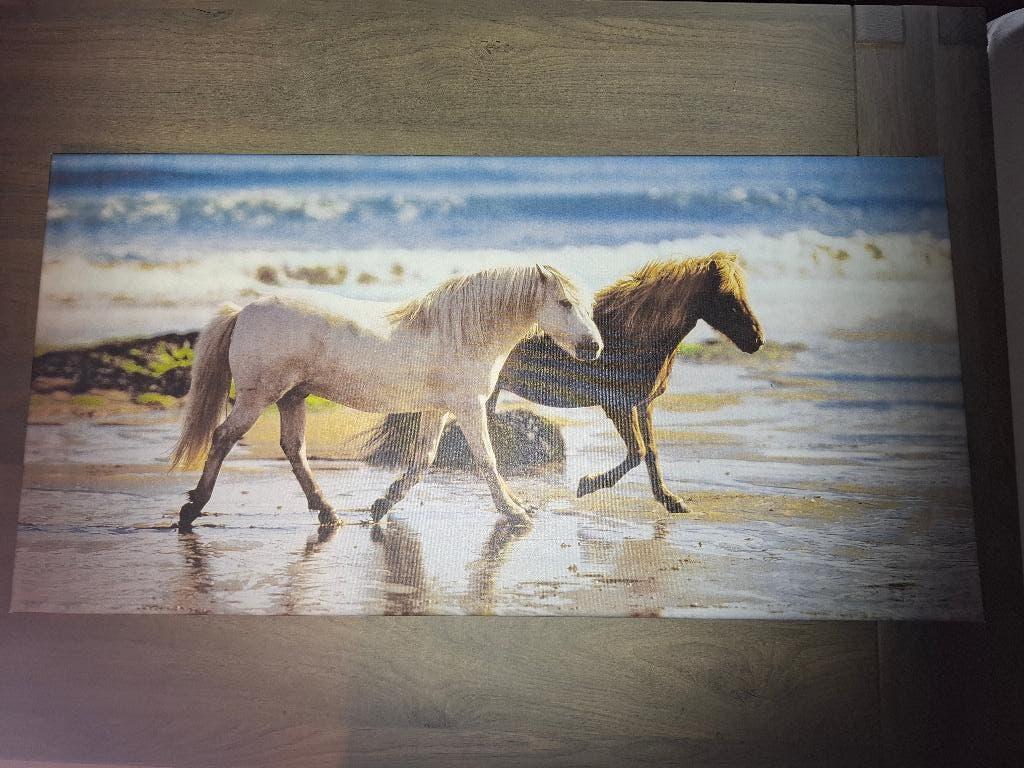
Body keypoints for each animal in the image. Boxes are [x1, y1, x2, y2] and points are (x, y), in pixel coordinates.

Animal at [170, 264, 603, 531]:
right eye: (564, 303)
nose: (593, 347)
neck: (461, 333)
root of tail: (243, 311)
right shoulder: (468, 406)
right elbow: (487, 460)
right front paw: (515, 513)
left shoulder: (438, 409)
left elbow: (423, 460)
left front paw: (381, 506)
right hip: (258, 397)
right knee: (223, 437)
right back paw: (193, 508)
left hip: (292, 397)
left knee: (293, 449)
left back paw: (327, 513)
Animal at [371, 252, 764, 513]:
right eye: (729, 299)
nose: (757, 341)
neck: (635, 333)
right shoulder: (616, 405)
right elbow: (637, 453)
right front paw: (588, 485)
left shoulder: (642, 404)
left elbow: (651, 453)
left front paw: (669, 500)